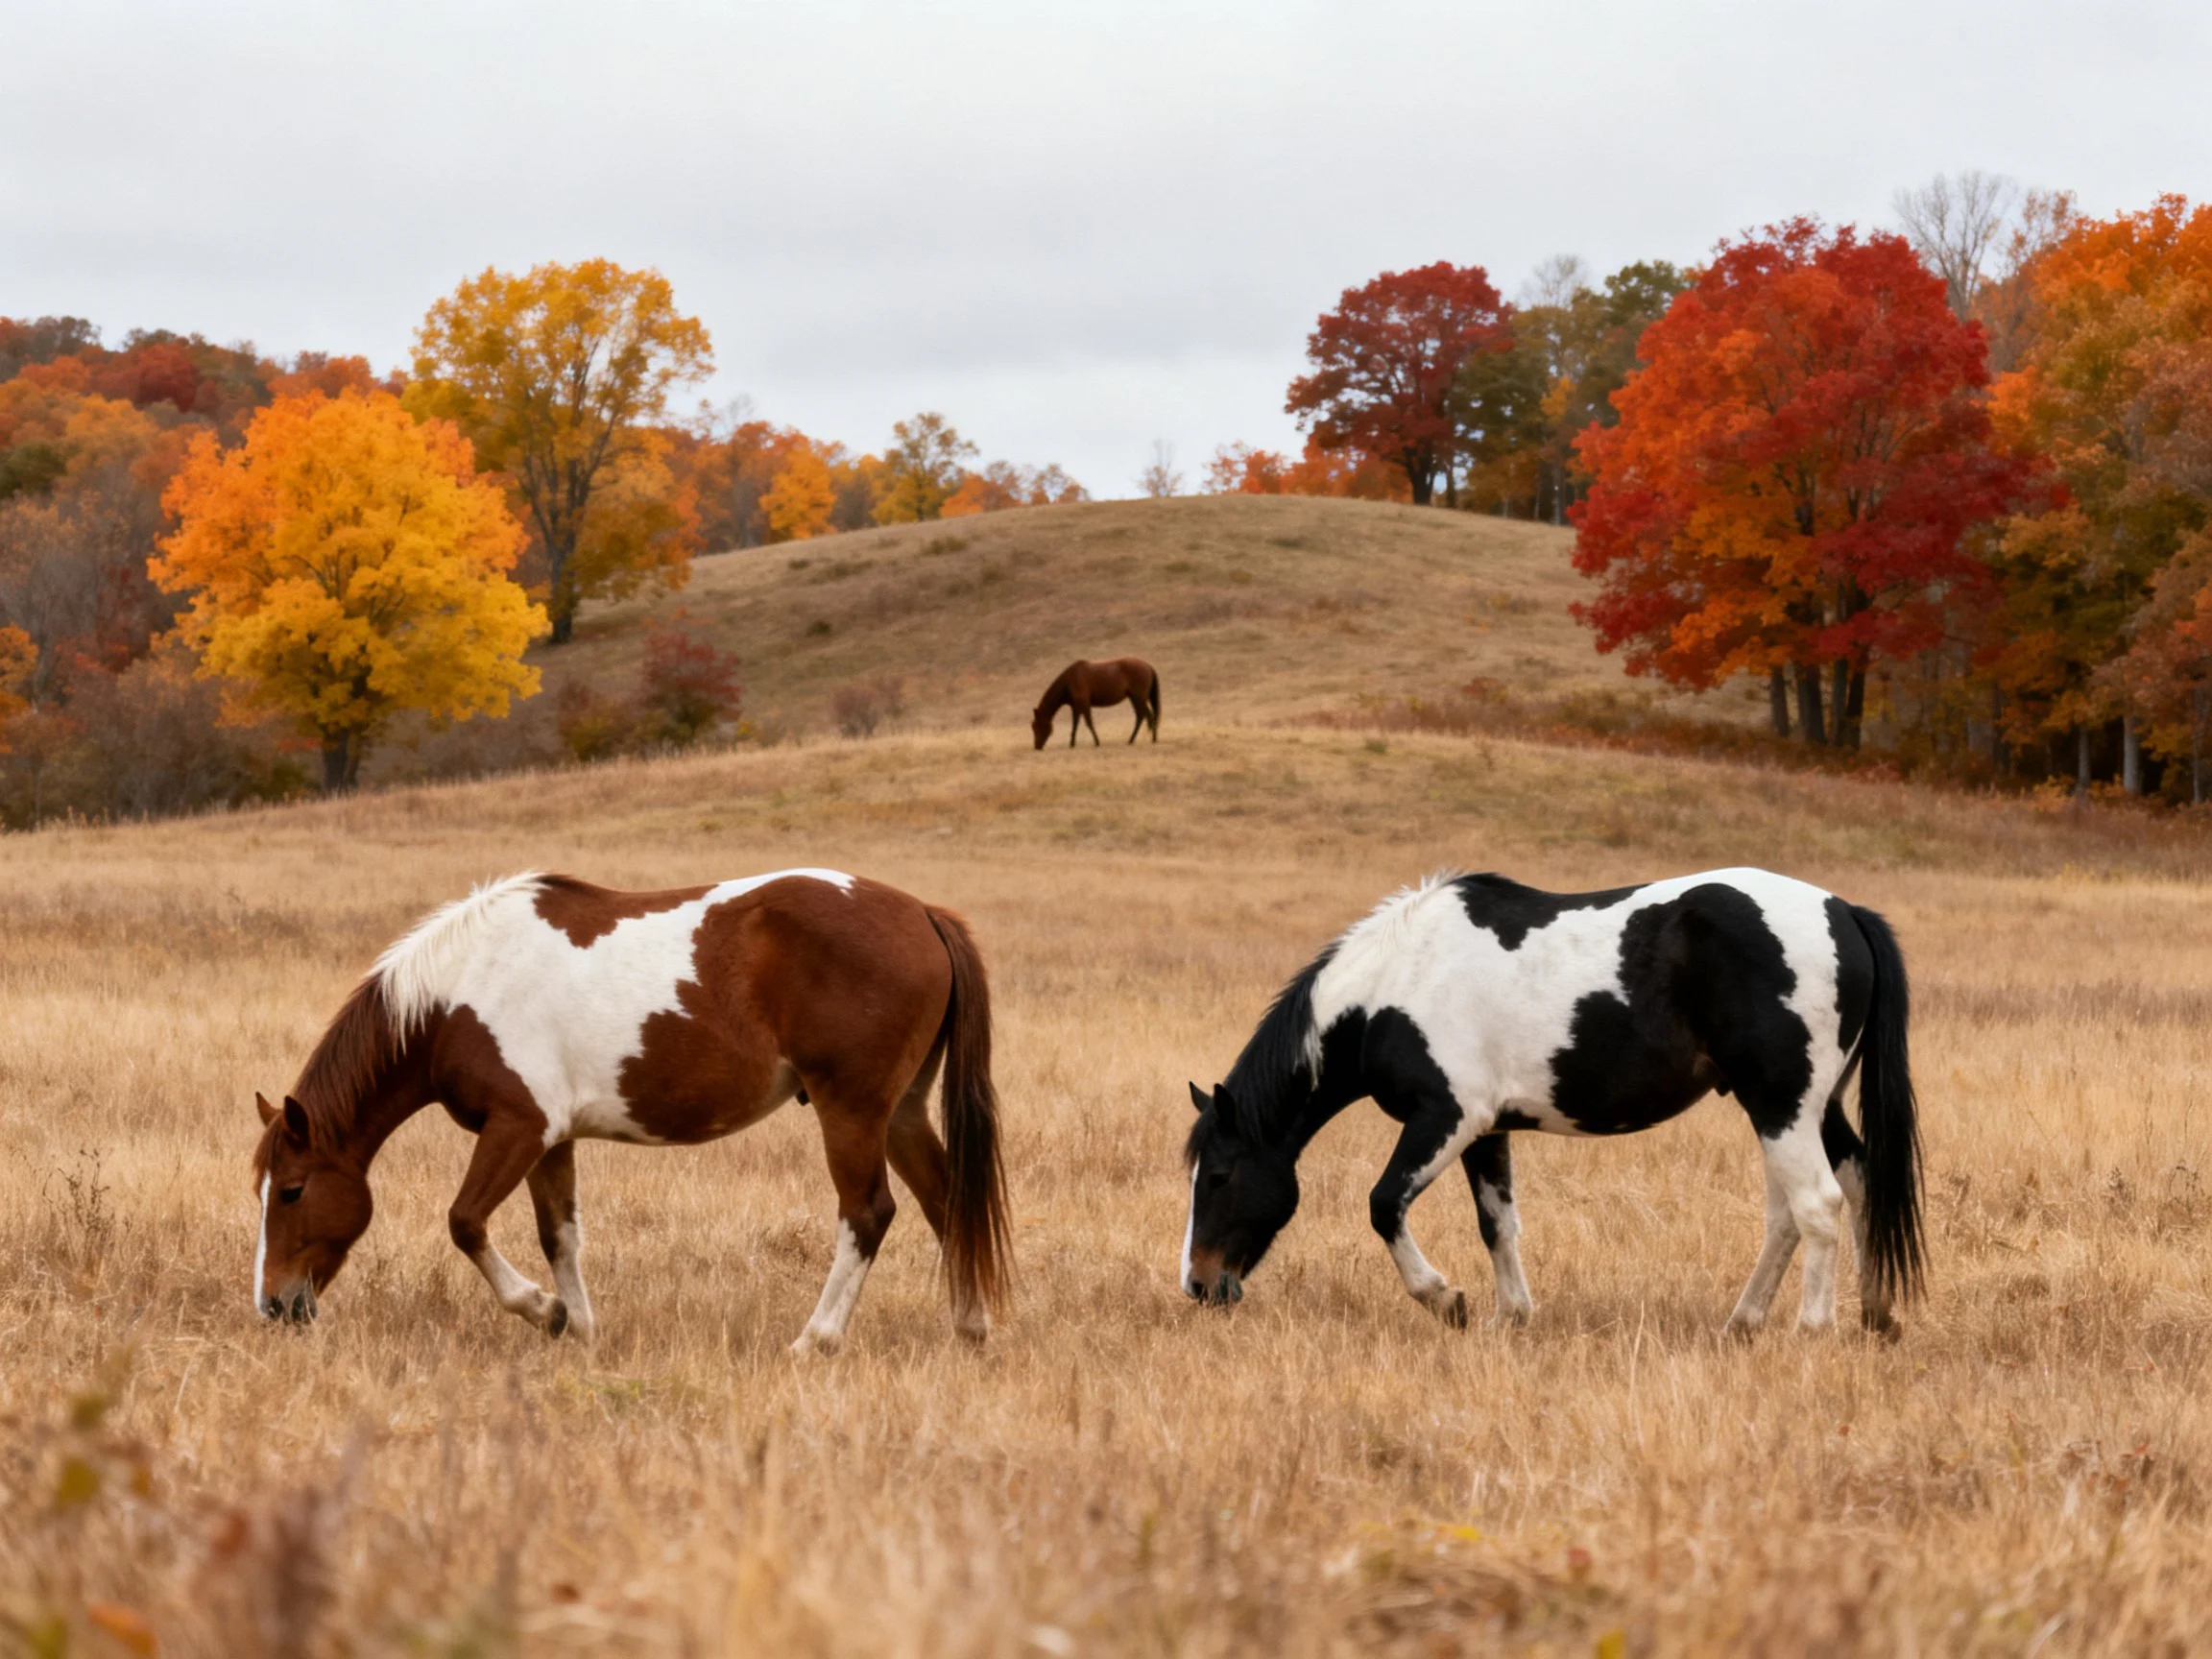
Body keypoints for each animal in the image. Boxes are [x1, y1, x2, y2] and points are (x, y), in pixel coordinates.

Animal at [249, 869, 1011, 1354]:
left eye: (291, 1191)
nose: (274, 1306)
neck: (454, 996)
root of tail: (924, 915)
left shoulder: (516, 1129)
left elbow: (465, 1223)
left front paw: (544, 1311)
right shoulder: (551, 1141)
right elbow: (559, 1235)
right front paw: (580, 1329)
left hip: (850, 1111)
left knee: (868, 1214)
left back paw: (815, 1340)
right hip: (901, 1112)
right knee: (947, 1202)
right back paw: (971, 1329)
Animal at [1032, 657, 1161, 749]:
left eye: (1035, 726)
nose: (1037, 747)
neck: (1070, 680)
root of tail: (1148, 666)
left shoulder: (1084, 704)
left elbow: (1089, 723)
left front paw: (1097, 742)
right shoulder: (1075, 707)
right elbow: (1075, 724)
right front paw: (1072, 743)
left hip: (1138, 698)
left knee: (1146, 716)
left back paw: (1146, 739)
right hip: (1134, 698)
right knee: (1142, 716)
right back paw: (1139, 739)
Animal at [1180, 867, 1924, 1338]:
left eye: (1218, 1175)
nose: (1198, 1284)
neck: (1395, 986)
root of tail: (1843, 912)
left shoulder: (1445, 1118)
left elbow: (1384, 1204)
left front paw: (1446, 1301)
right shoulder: (1486, 1132)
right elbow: (1498, 1225)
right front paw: (1511, 1317)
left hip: (1781, 1104)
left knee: (1817, 1206)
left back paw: (1812, 1329)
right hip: (1804, 1109)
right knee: (1831, 1195)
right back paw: (1834, 1318)